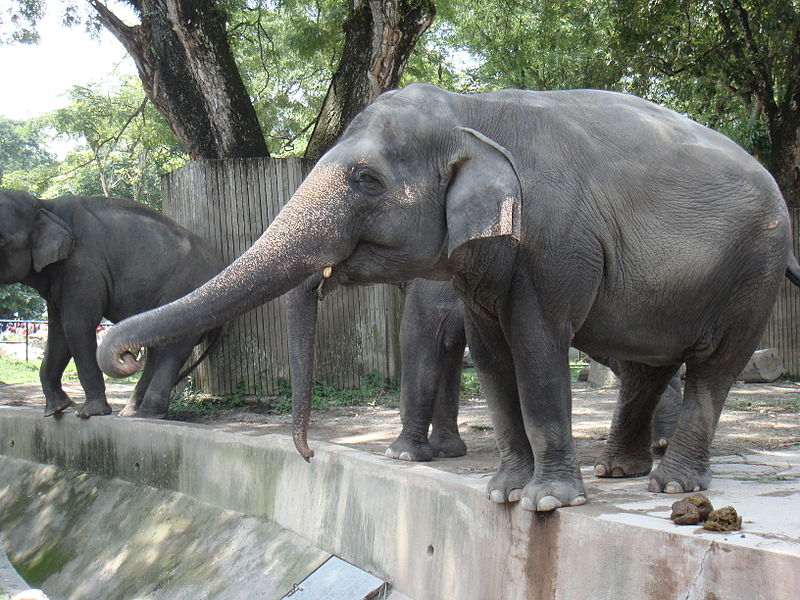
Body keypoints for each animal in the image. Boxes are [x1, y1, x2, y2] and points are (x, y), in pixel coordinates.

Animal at [0, 190, 223, 420]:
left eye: (0, 242)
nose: (128, 354)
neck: (44, 205)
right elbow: (59, 331)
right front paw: (56, 409)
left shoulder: (84, 268)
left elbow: (77, 325)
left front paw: (90, 413)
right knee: (158, 345)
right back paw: (132, 413)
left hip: (187, 290)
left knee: (172, 348)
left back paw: (149, 413)